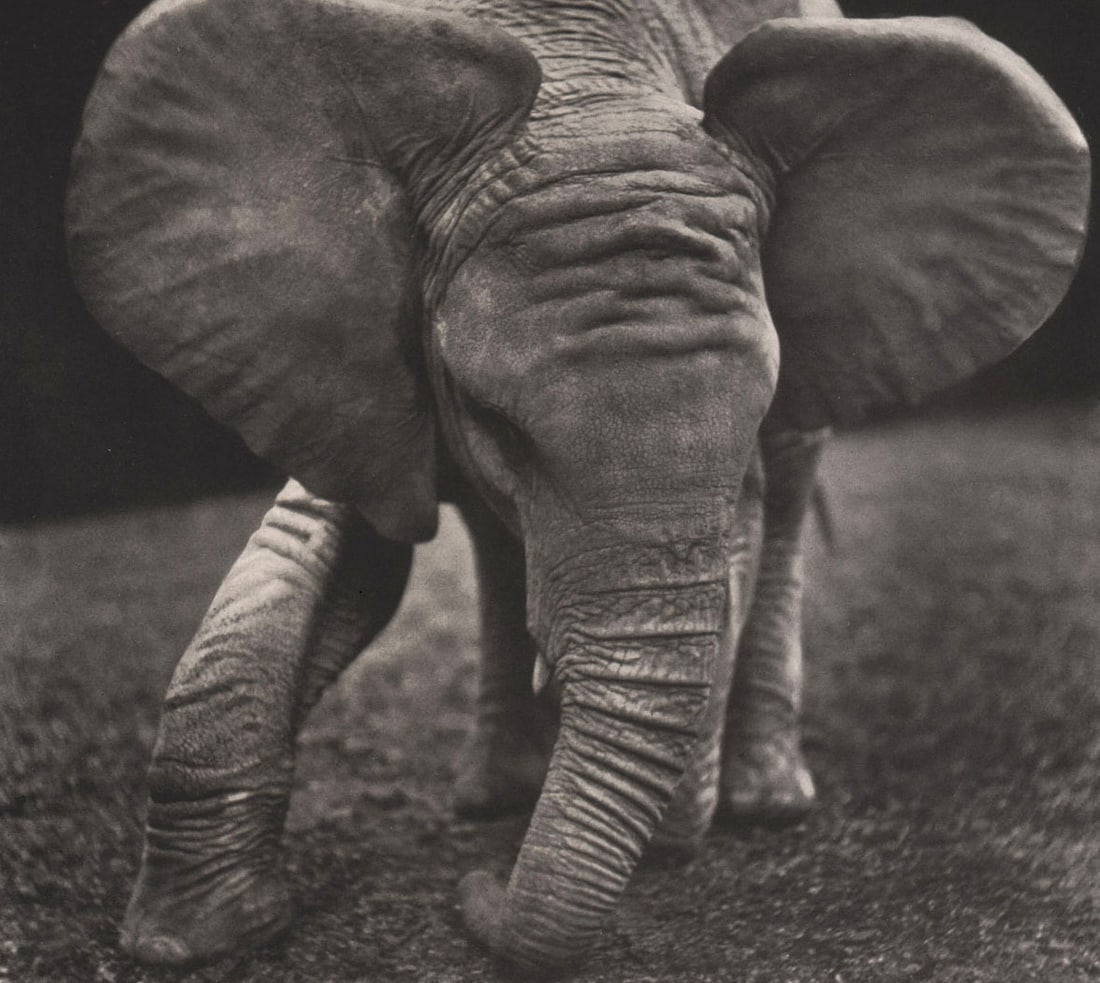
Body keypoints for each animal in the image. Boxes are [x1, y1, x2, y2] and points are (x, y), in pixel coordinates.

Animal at [65, 0, 1089, 974]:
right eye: (496, 423)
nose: (473, 894)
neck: (583, 95)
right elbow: (343, 550)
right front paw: (197, 938)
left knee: (794, 488)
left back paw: (755, 804)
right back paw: (500, 796)